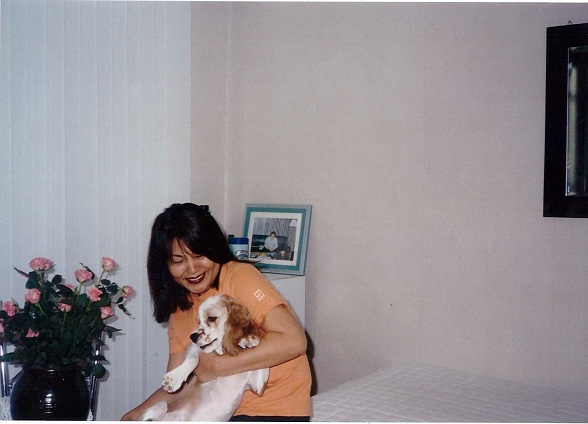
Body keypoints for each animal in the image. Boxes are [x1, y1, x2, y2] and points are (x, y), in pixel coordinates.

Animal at [140, 295, 270, 421]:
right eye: (198, 321)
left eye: (211, 318)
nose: (192, 336)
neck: (222, 353)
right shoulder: (194, 348)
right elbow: (193, 359)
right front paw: (173, 379)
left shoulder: (258, 387)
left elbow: (263, 364)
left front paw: (249, 339)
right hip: (160, 405)